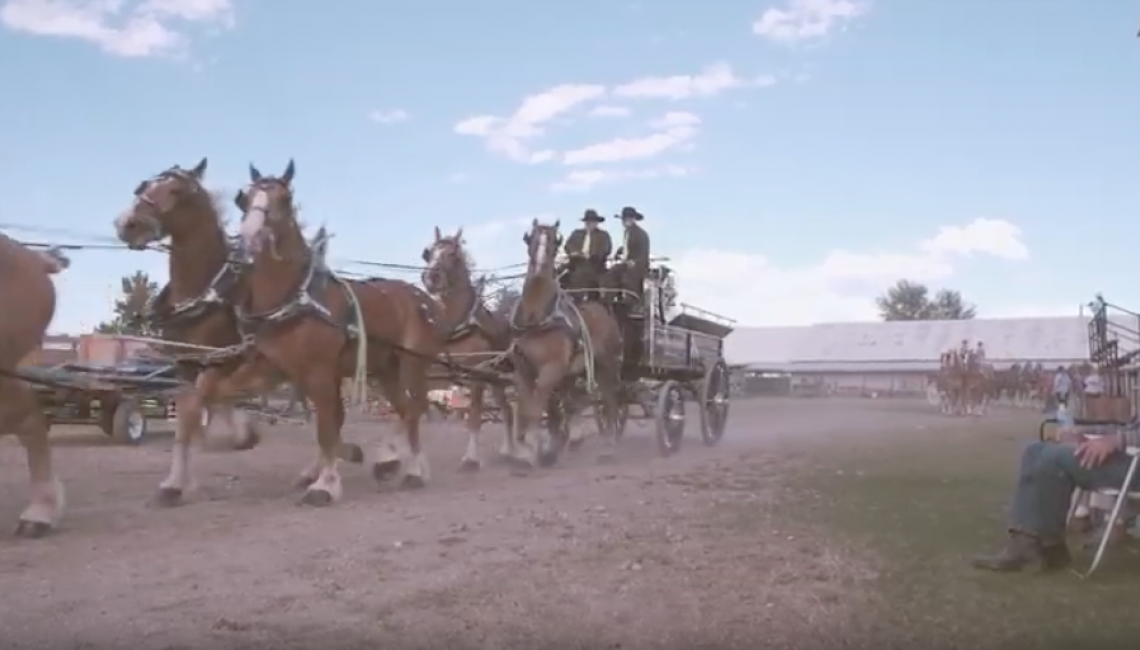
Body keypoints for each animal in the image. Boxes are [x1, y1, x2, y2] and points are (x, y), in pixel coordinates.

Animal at [112, 158, 362, 507]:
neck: (206, 291)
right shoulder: (186, 366)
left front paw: (240, 435)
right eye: (145, 185)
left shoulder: (225, 362)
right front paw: (176, 482)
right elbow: (187, 419)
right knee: (331, 414)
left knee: (330, 415)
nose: (127, 224)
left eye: (176, 191)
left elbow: (208, 404)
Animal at [231, 160, 441, 504]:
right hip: (385, 369)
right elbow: (329, 423)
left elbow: (328, 427)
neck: (298, 296)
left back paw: (411, 468)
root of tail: (425, 300)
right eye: (244, 198)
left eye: (285, 199)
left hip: (412, 364)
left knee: (413, 410)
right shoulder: (291, 371)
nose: (251, 234)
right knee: (405, 409)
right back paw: (402, 463)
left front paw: (325, 484)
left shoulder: (319, 371)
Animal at [421, 227, 516, 469]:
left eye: (454, 254)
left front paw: (470, 458)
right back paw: (508, 450)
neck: (458, 325)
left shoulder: (477, 375)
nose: (431, 277)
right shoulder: (432, 375)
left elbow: (474, 417)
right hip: (496, 379)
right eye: (428, 253)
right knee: (507, 410)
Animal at [507, 219, 624, 467]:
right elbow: (526, 410)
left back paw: (609, 445)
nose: (539, 271)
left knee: (610, 401)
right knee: (576, 402)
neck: (537, 318)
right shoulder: (523, 371)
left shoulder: (551, 370)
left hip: (606, 366)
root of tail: (603, 310)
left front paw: (534, 451)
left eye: (554, 243)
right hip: (575, 372)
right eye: (531, 240)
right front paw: (528, 451)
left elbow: (536, 410)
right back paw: (574, 440)